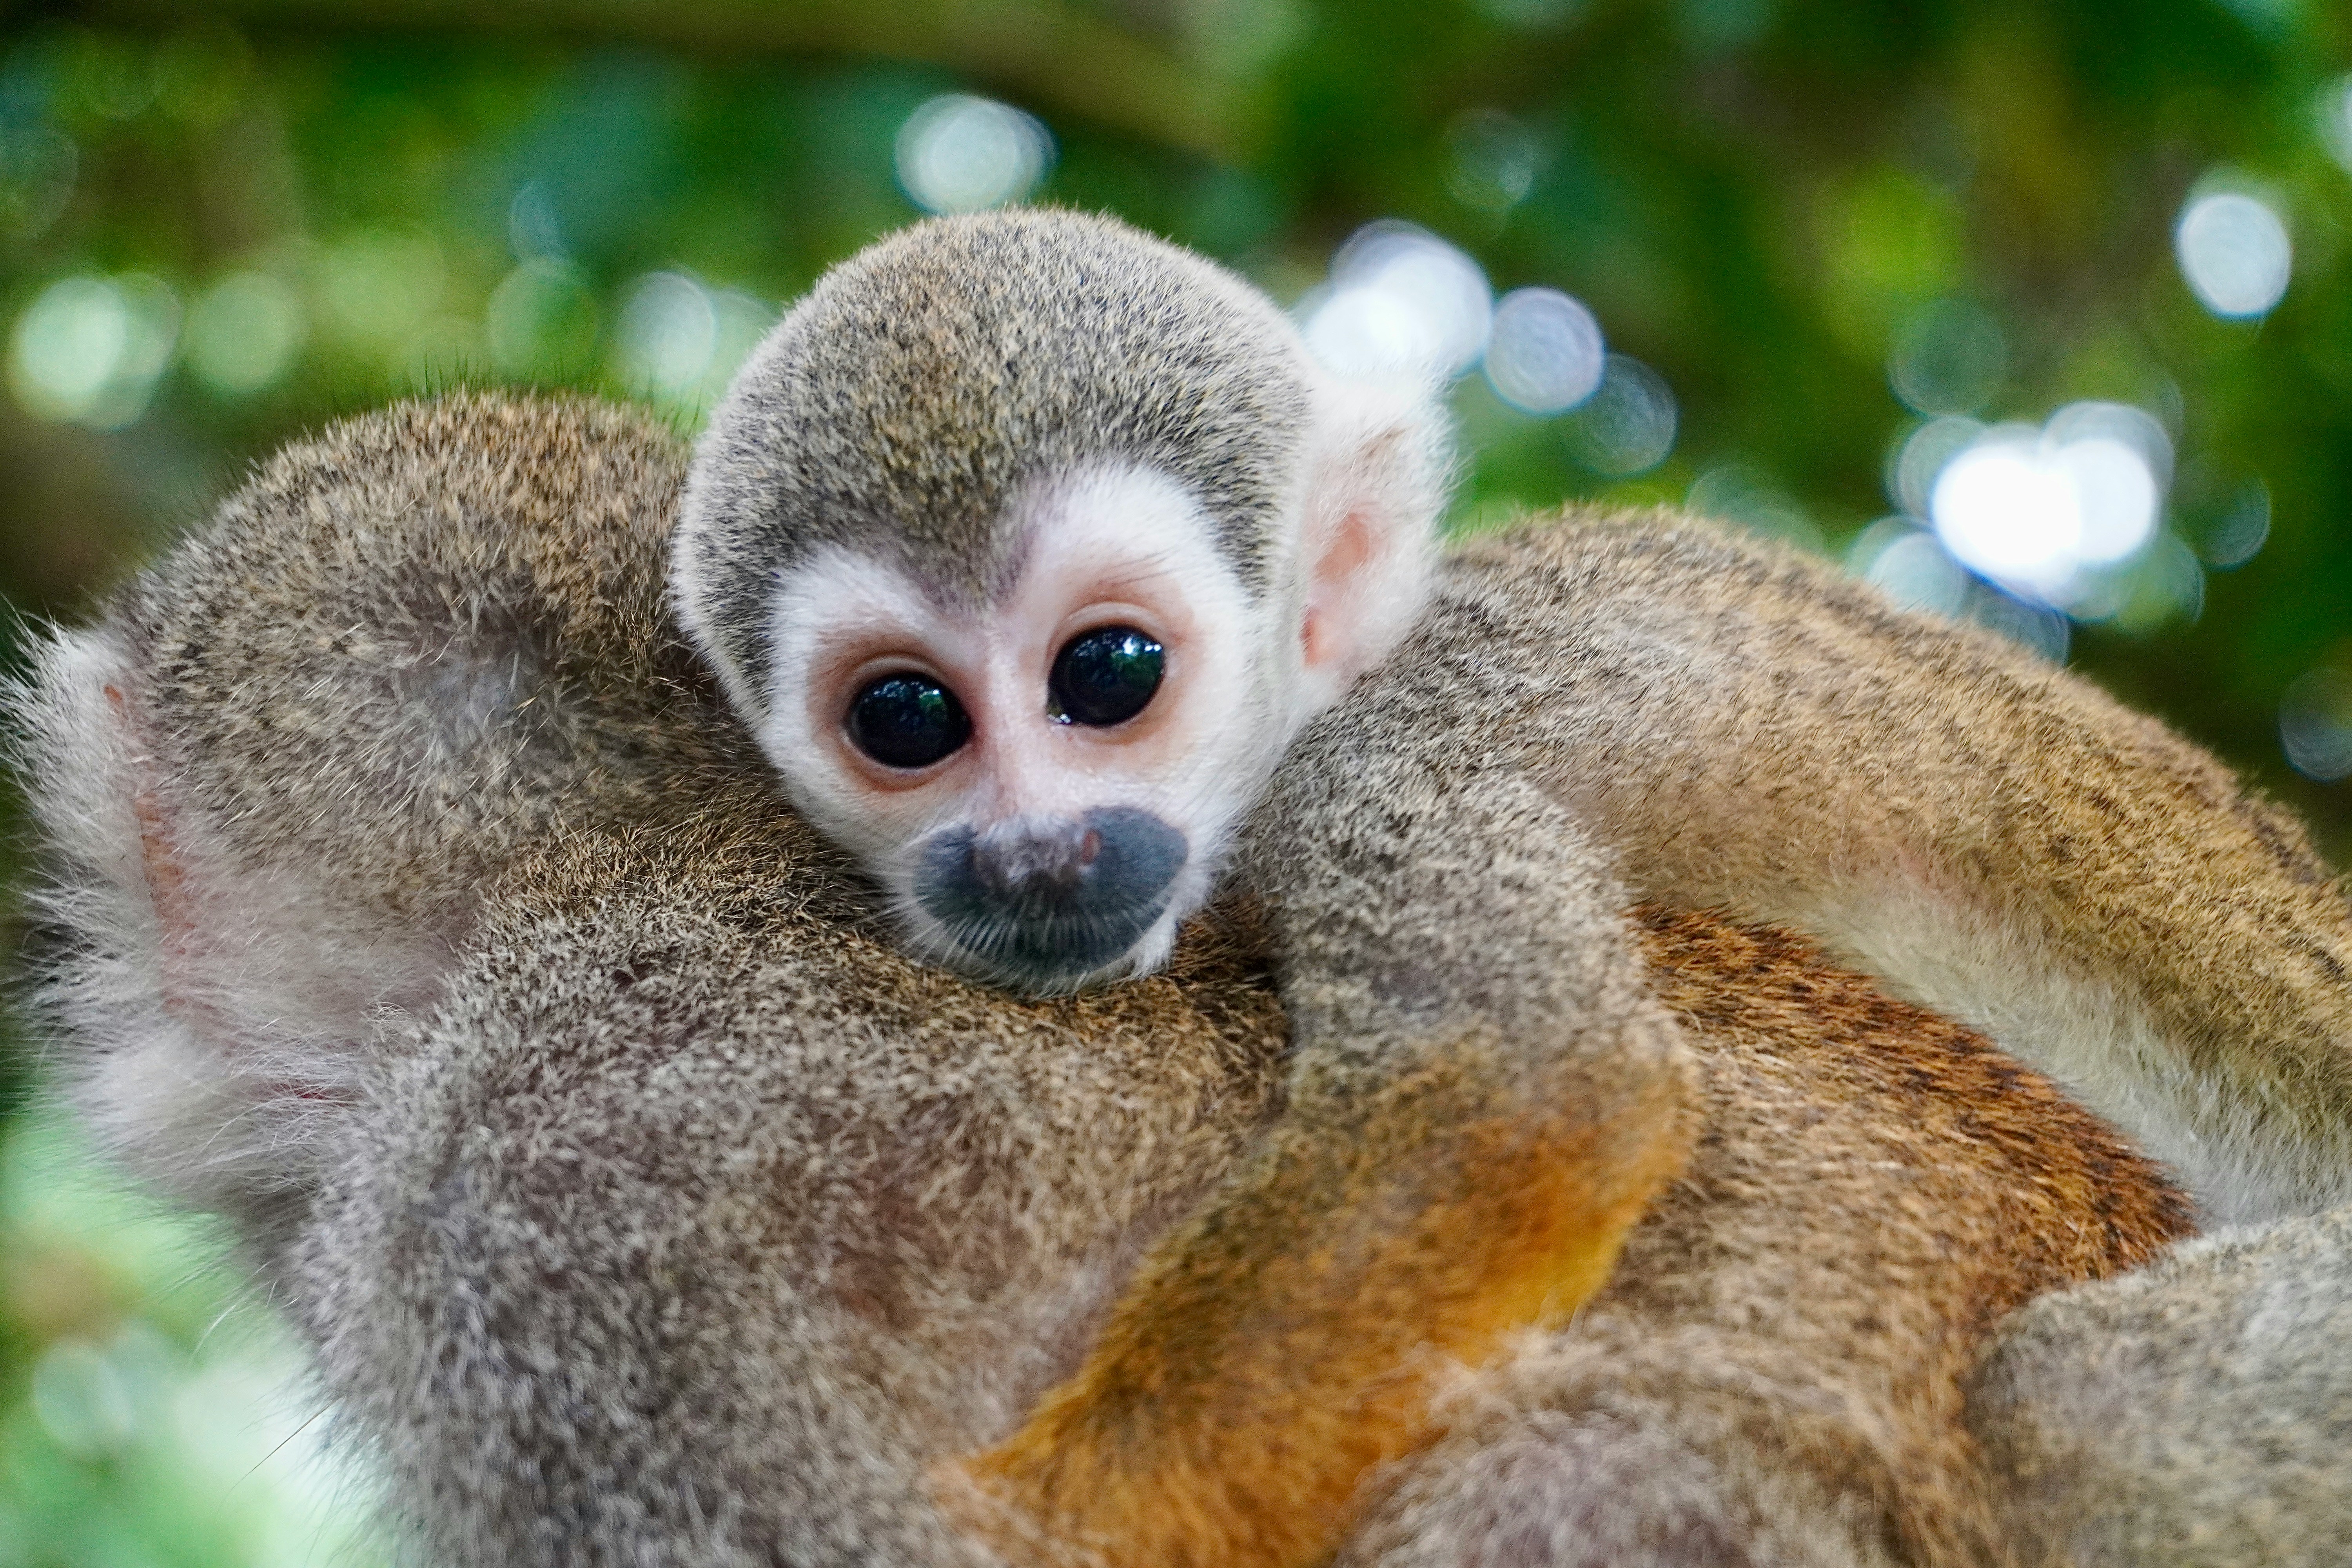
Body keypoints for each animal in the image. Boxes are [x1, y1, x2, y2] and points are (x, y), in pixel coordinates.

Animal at [665, 209, 2352, 1558]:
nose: (1031, 853)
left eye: (1108, 673)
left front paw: (1035, 1523)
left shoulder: (1377, 776)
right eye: (906, 717)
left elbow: (1523, 1095)